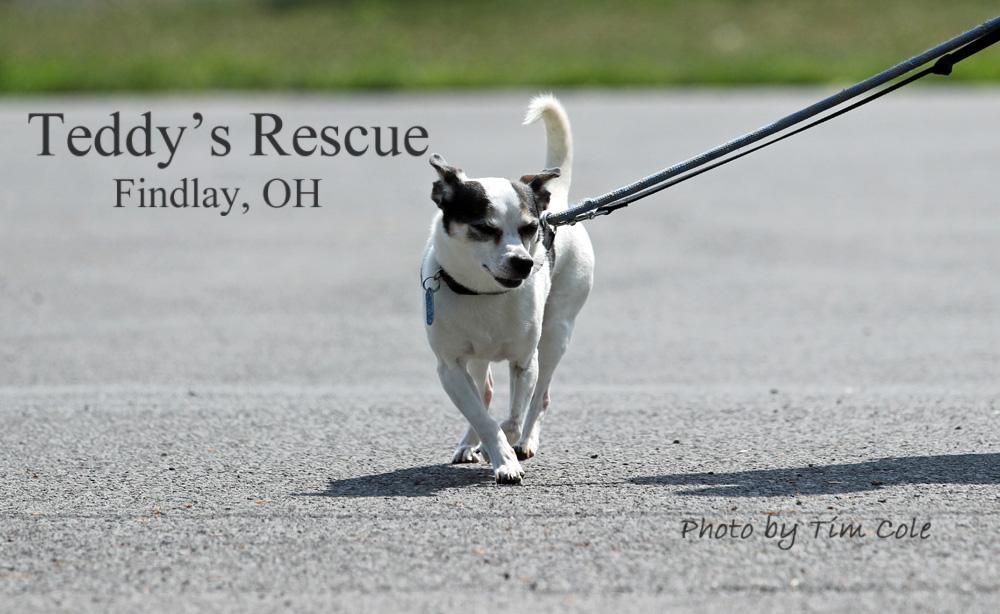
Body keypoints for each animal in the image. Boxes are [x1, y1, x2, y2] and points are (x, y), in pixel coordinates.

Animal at [420, 95, 592, 486]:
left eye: (529, 228)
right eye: (484, 228)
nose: (523, 263)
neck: (483, 294)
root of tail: (557, 200)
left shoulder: (524, 362)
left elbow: (511, 417)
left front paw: (506, 451)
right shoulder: (449, 367)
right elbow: (480, 414)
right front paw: (497, 454)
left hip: (556, 334)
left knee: (539, 397)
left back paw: (525, 443)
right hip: (478, 358)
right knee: (483, 392)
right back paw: (470, 444)